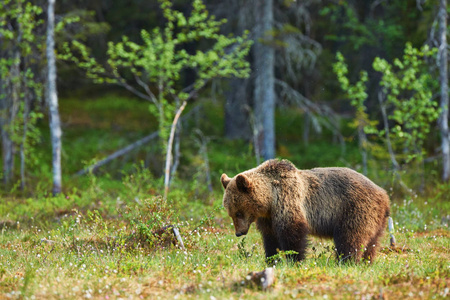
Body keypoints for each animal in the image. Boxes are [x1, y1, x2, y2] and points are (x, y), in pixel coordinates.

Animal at [221, 159, 390, 262]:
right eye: (231, 213)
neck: (270, 198)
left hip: (355, 209)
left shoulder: (288, 200)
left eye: (238, 212)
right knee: (372, 243)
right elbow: (270, 238)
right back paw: (366, 262)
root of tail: (384, 195)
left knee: (350, 237)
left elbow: (292, 233)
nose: (239, 233)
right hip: (376, 220)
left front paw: (294, 259)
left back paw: (346, 261)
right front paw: (271, 259)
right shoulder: (268, 217)